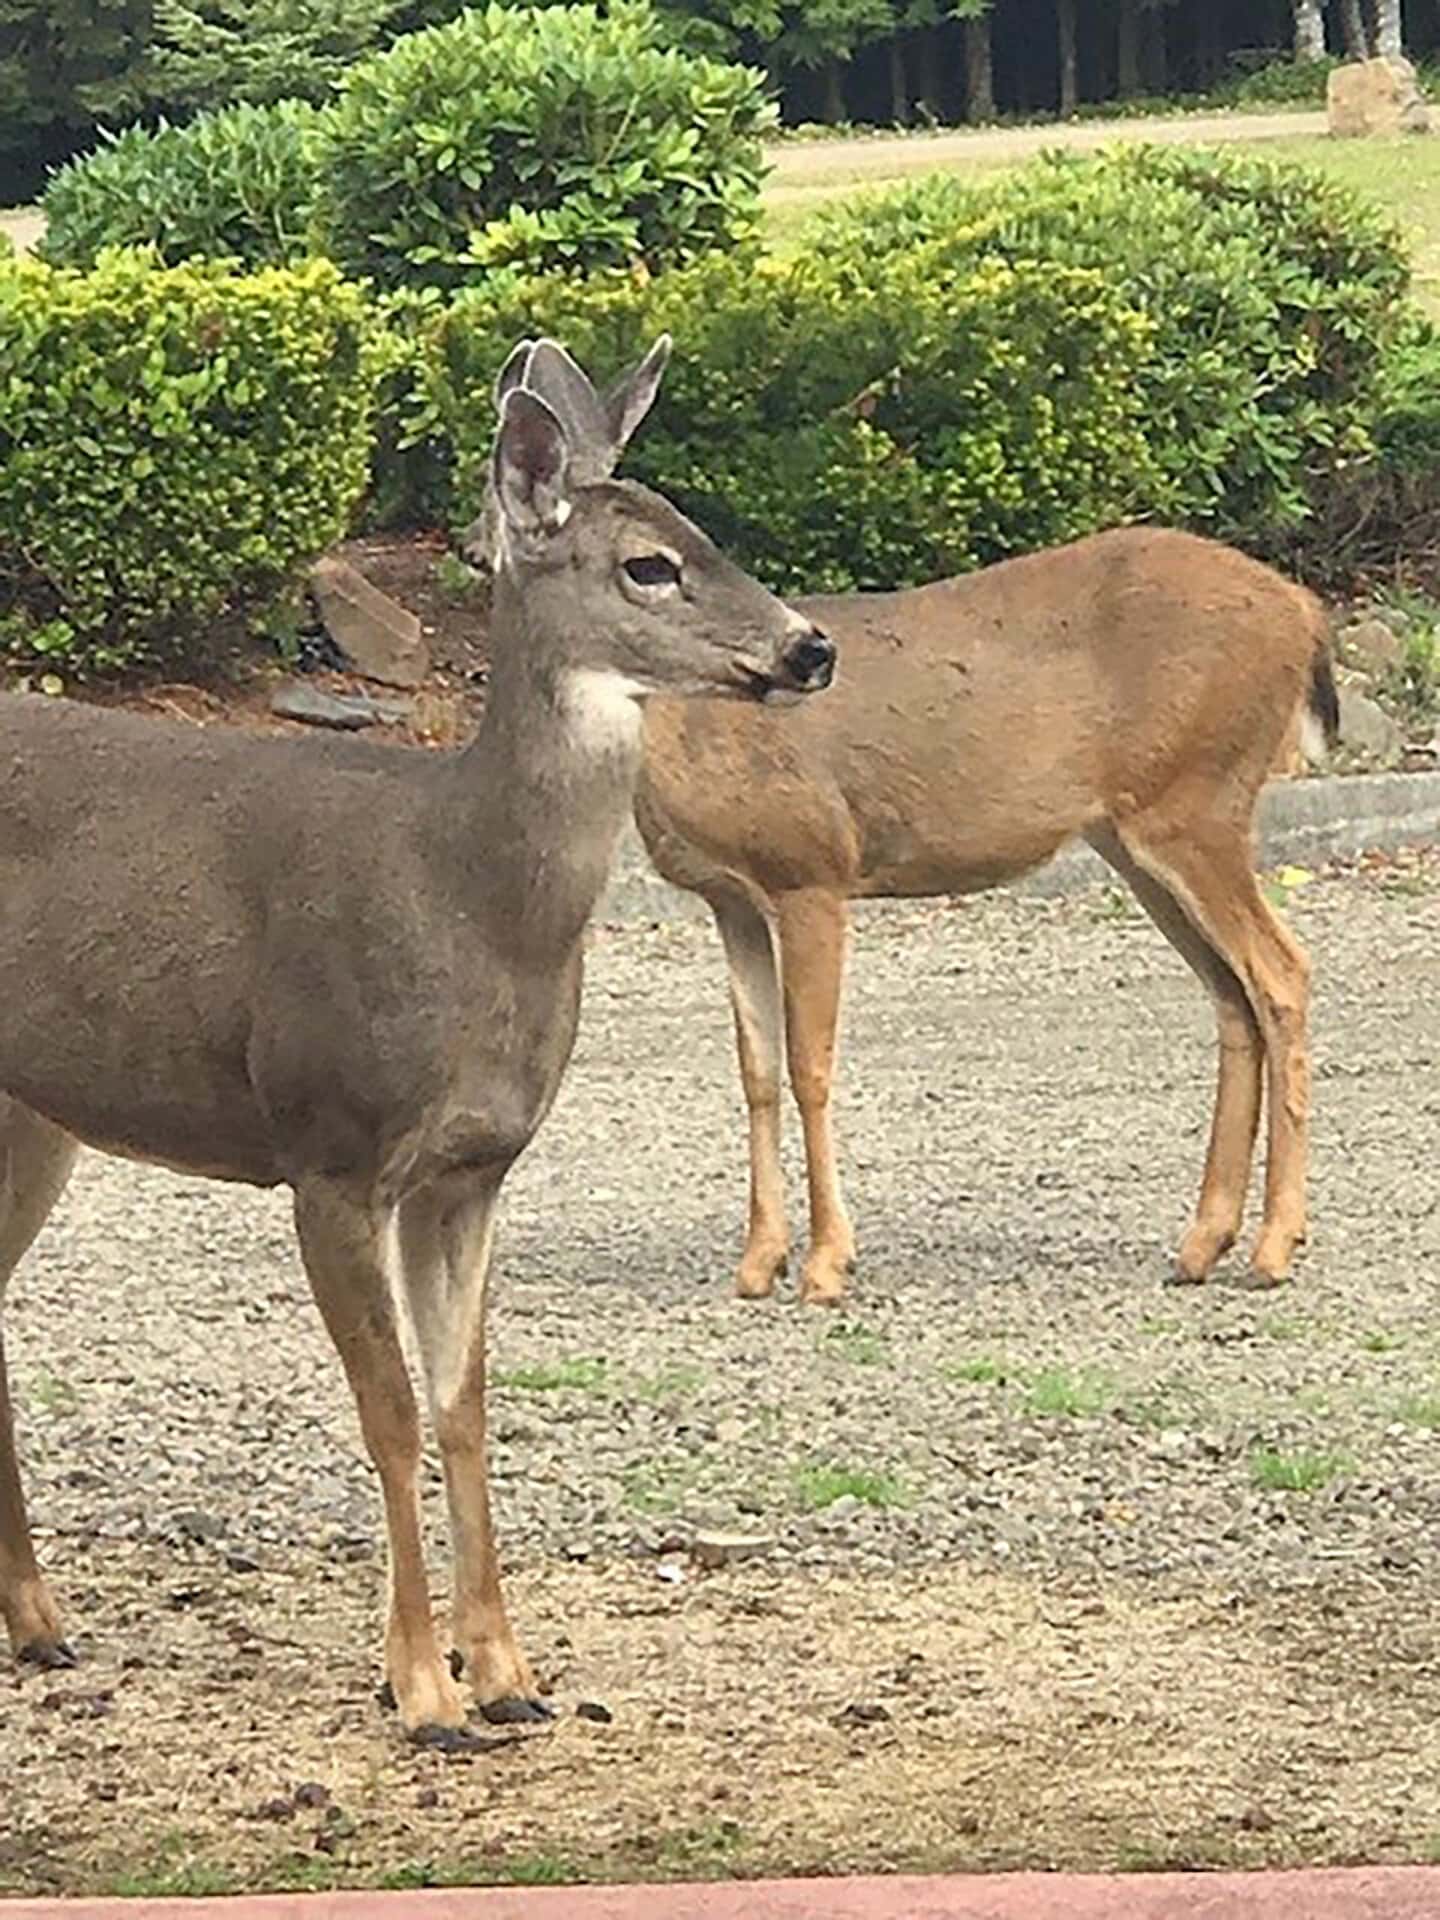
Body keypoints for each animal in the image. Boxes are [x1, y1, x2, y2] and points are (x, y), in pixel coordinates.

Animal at [0, 337, 836, 1741]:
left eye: (702, 533)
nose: (811, 647)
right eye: (648, 565)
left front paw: (508, 1675)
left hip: (35, 1118)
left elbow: (461, 1405)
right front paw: (419, 1684)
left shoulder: (470, 1171)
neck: (464, 895)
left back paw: (39, 1622)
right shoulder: (327, 1144)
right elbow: (386, 1411)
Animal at [473, 342, 1340, 1309]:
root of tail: (1306, 613)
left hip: (1200, 799)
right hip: (1138, 833)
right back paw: (1202, 1243)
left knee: (1283, 975)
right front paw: (758, 1260)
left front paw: (826, 1262)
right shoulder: (729, 898)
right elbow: (756, 1072)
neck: (683, 731)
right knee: (1232, 993)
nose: (473, 545)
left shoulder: (812, 865)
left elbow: (811, 1065)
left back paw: (1275, 1245)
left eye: (663, 555)